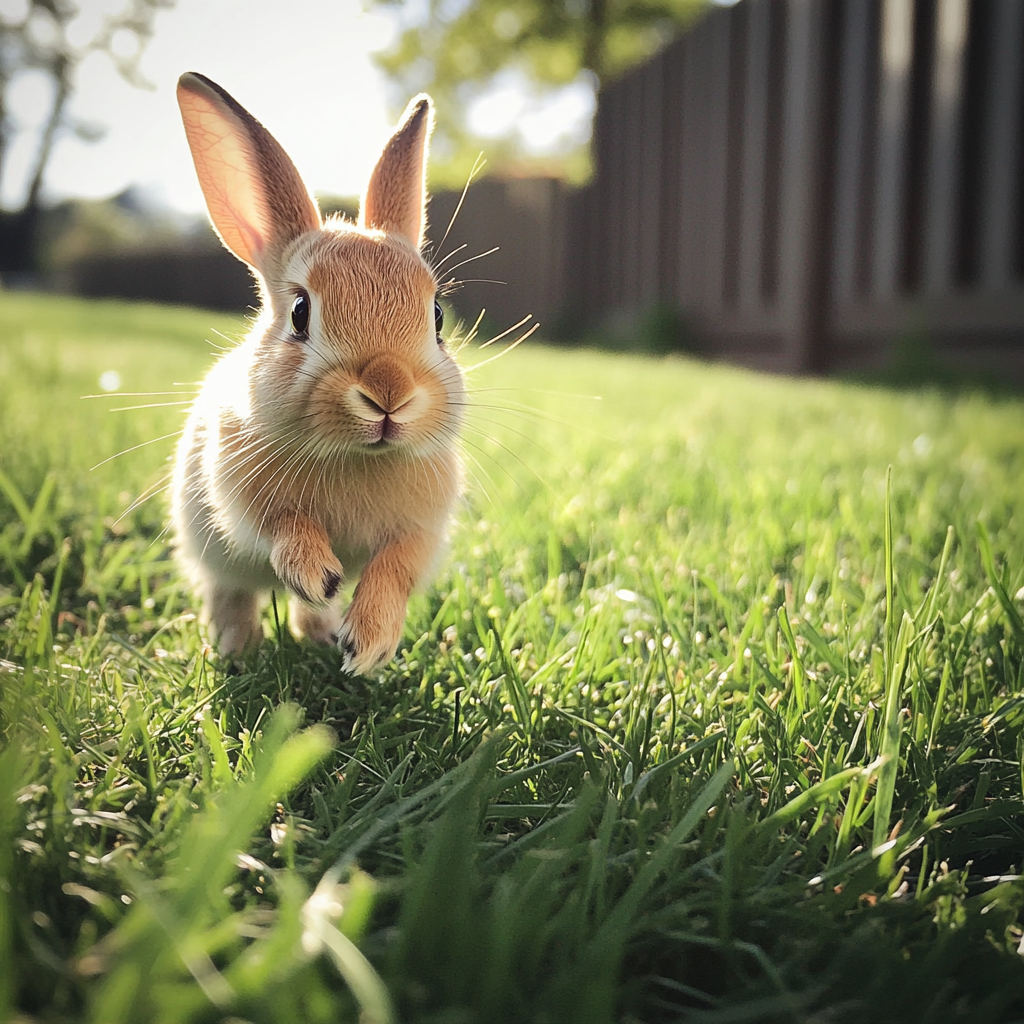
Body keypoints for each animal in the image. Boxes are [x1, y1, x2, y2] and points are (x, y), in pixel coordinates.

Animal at [171, 75, 464, 675]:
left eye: (438, 317)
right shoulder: (247, 503)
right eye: (301, 313)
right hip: (212, 554)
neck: (357, 456)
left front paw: (368, 645)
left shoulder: (420, 532)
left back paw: (326, 637)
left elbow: (395, 567)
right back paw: (238, 650)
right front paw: (316, 574)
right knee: (231, 595)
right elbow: (284, 526)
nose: (389, 393)